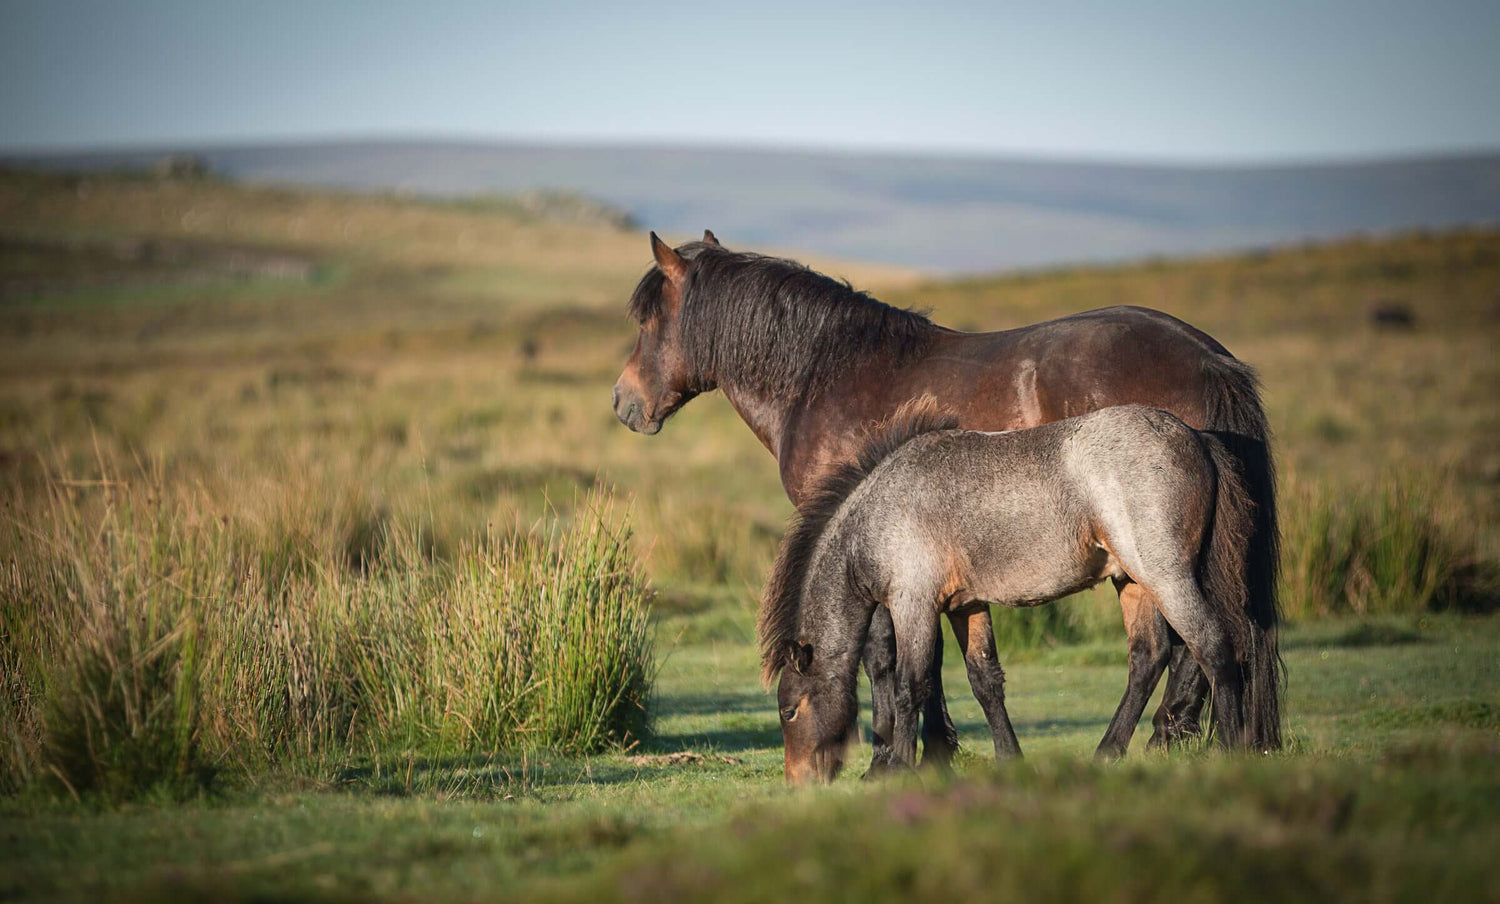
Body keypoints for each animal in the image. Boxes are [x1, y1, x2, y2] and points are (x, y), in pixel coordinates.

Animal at [615, 233, 1284, 764]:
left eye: (648, 321)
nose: (623, 403)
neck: (824, 375)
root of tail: (1210, 357)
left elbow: (885, 657)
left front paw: (898, 748)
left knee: (1194, 644)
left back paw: (1169, 737)